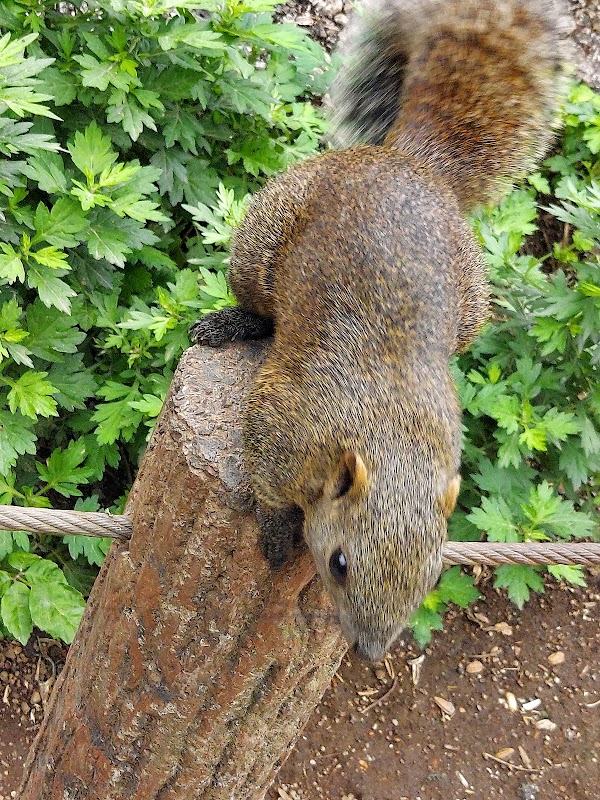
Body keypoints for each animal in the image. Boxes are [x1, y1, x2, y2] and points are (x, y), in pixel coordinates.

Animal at [190, 0, 570, 661]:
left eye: (433, 575)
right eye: (339, 563)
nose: (370, 652)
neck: (390, 434)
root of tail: (410, 162)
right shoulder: (280, 419)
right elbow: (265, 483)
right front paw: (275, 533)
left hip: (471, 306)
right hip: (263, 234)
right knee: (259, 307)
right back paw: (231, 322)